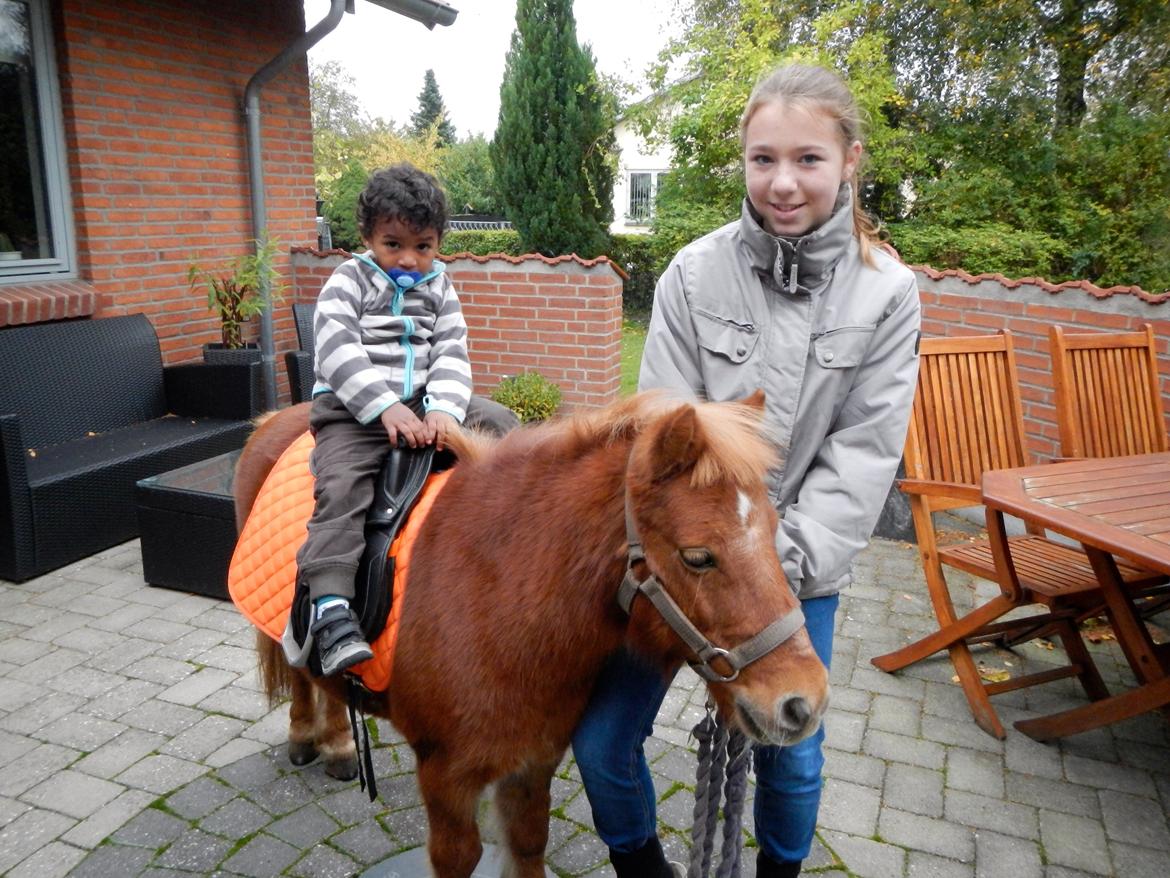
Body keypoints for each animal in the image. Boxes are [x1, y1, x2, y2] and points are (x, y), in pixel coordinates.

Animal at [232, 395, 828, 878]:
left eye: (775, 531)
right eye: (698, 556)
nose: (804, 702)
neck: (497, 595)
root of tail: (274, 419)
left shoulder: (534, 762)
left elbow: (527, 844)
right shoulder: (446, 779)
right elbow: (460, 857)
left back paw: (335, 744)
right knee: (302, 673)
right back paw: (309, 737)